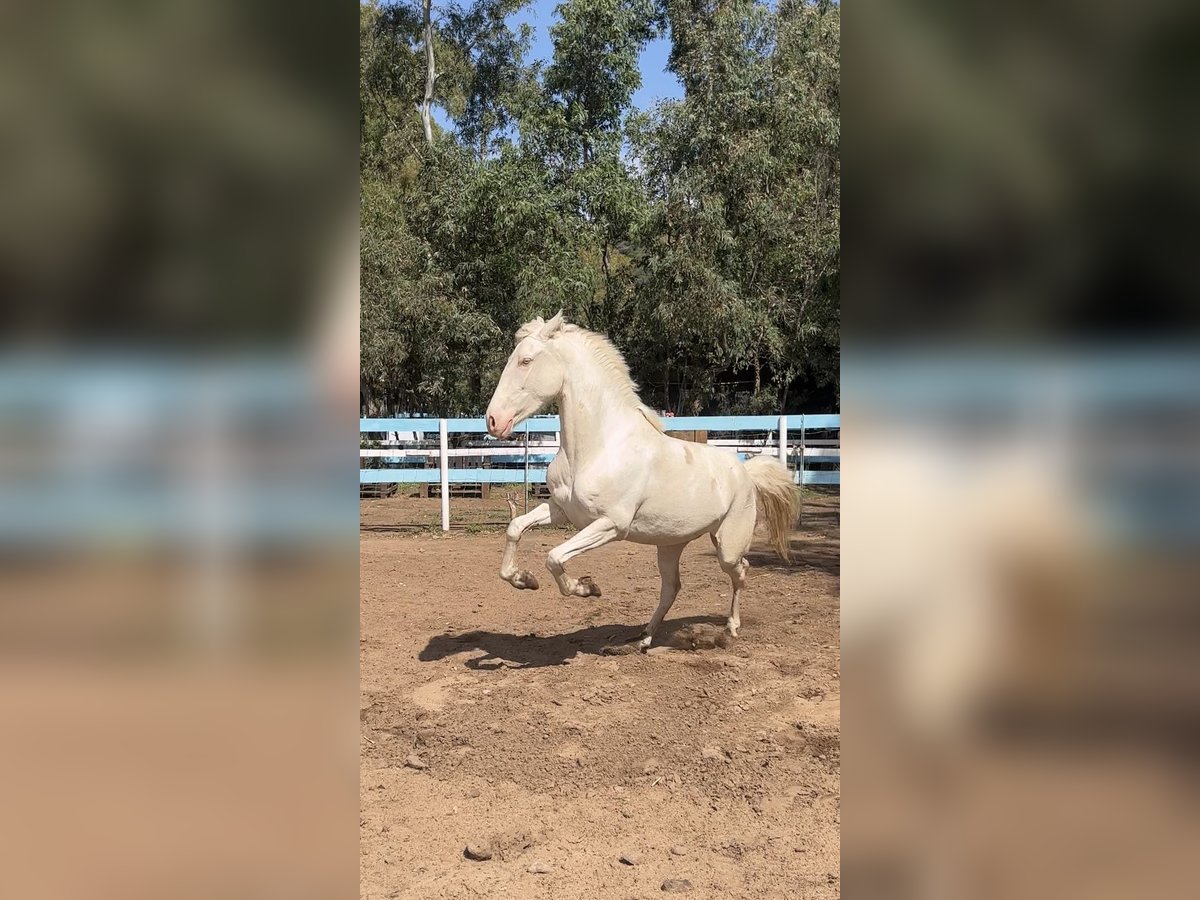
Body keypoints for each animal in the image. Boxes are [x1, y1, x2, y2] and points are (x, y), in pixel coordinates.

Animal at [482, 309, 801, 648]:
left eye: (526, 361)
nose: (493, 420)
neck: (598, 447)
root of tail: (745, 472)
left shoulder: (611, 525)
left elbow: (554, 557)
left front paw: (587, 587)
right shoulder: (562, 510)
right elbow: (515, 528)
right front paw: (523, 580)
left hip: (727, 545)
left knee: (740, 570)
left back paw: (730, 629)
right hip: (671, 544)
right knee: (672, 587)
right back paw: (645, 638)